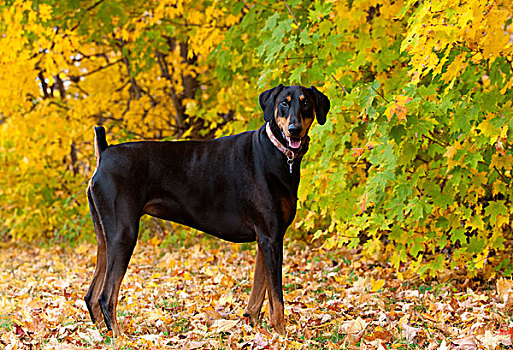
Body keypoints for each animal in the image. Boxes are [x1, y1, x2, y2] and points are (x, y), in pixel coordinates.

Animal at [85, 83, 328, 334]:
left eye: (306, 102)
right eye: (283, 103)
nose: (294, 129)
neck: (277, 153)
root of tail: (104, 152)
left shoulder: (266, 238)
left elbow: (258, 291)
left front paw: (252, 325)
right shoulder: (271, 238)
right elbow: (276, 299)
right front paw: (281, 335)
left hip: (105, 239)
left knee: (92, 295)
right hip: (123, 234)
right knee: (106, 296)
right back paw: (120, 336)